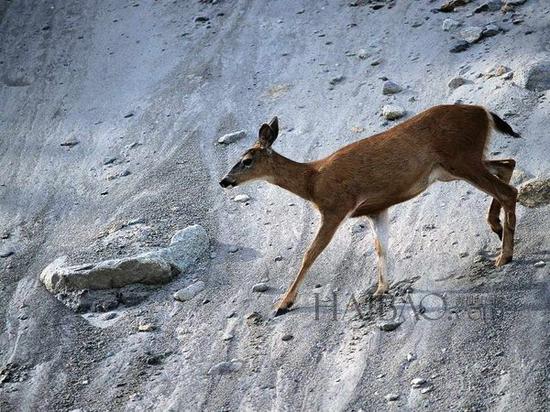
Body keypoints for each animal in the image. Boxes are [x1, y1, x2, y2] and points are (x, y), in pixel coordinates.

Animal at [219, 104, 520, 318]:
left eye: (246, 160)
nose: (224, 180)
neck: (312, 181)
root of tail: (483, 111)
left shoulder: (336, 207)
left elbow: (310, 253)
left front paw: (284, 303)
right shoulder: (377, 208)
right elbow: (381, 247)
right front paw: (380, 289)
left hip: (460, 158)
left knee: (508, 190)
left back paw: (504, 254)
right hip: (453, 167)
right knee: (507, 164)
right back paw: (496, 228)